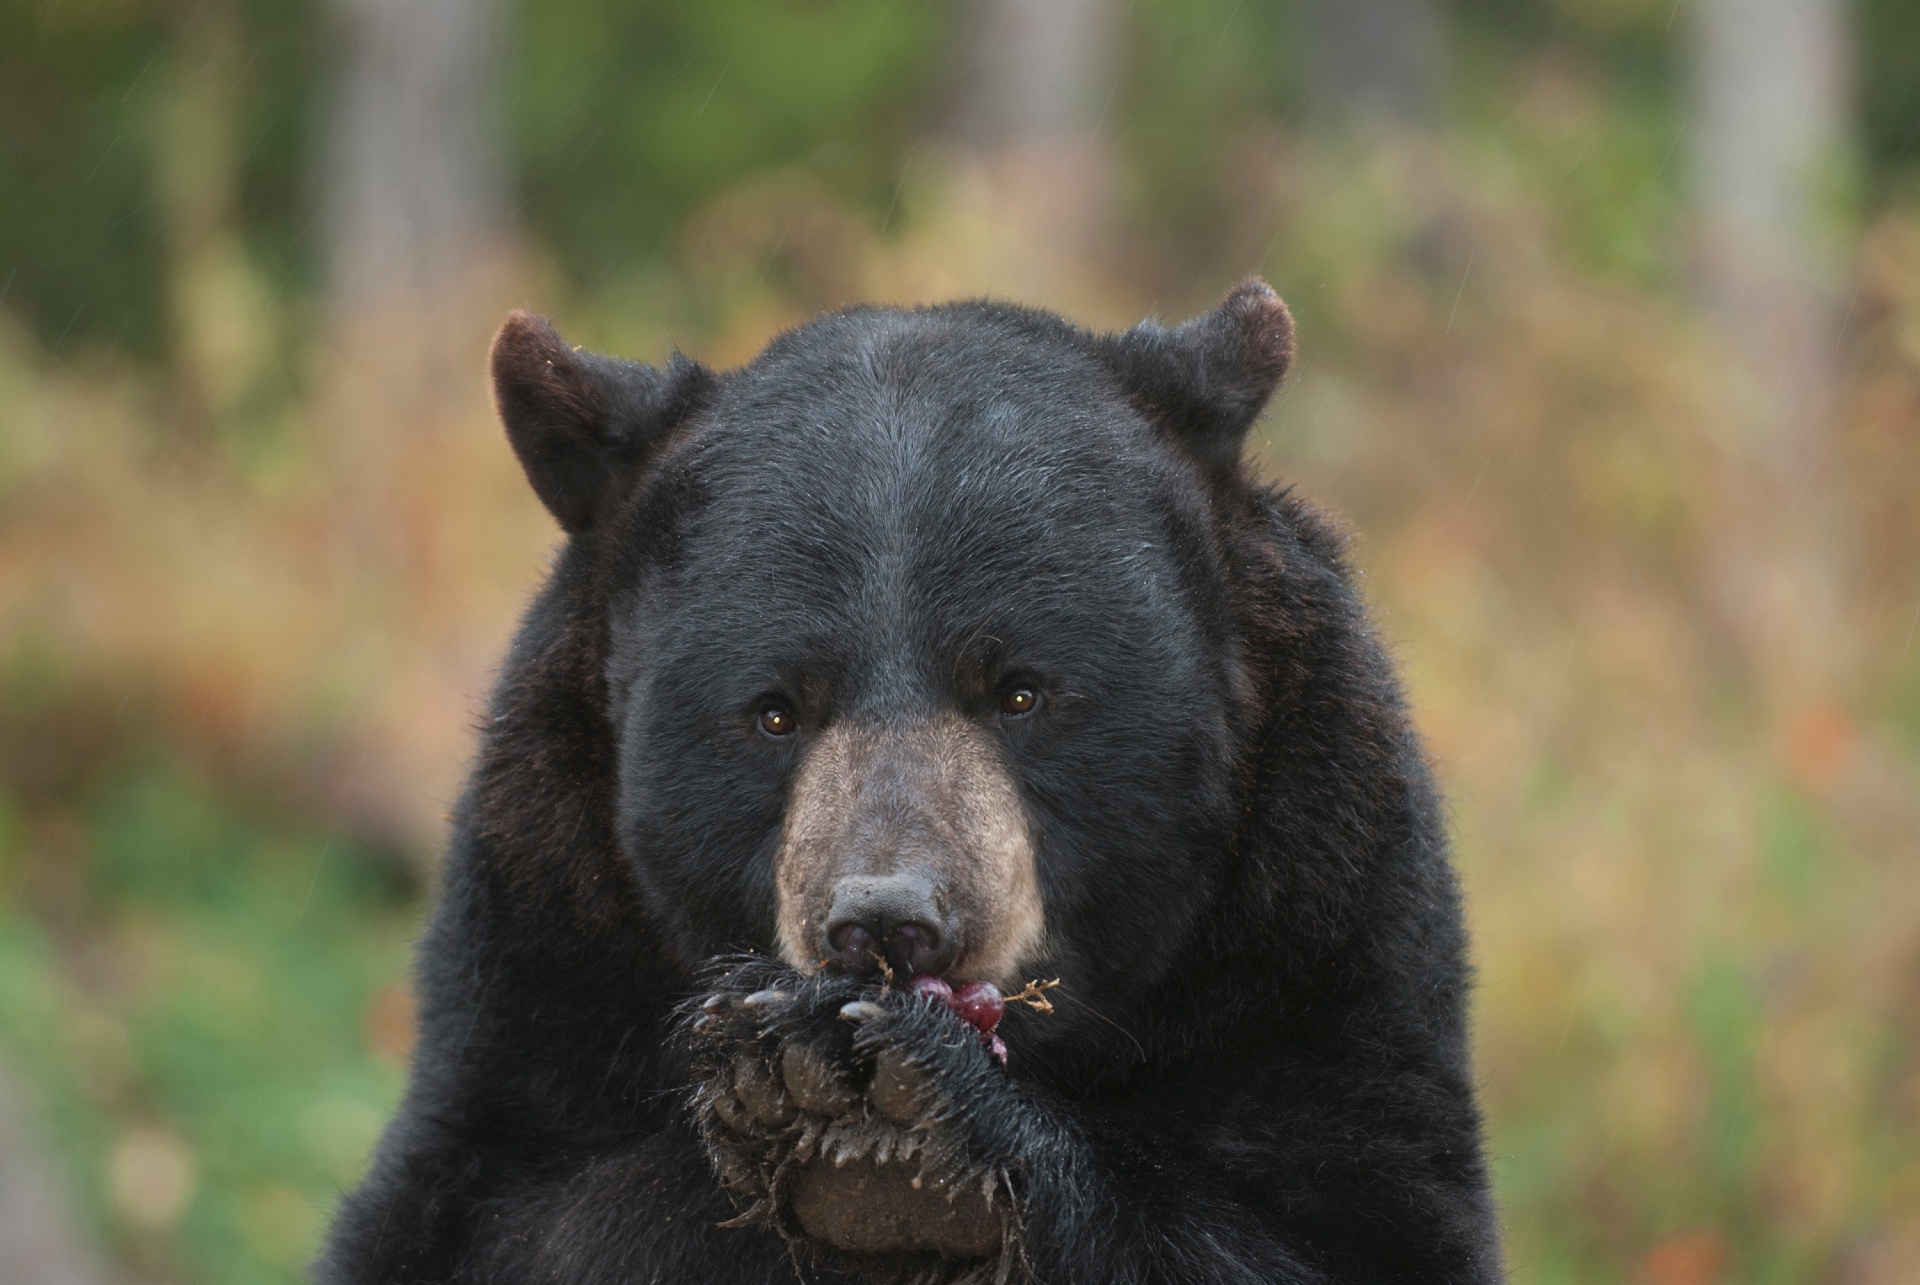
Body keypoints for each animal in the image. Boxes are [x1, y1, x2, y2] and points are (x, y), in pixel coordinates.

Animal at [316, 280, 1504, 1285]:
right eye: (776, 709)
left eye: (1020, 690)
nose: (889, 922)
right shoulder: (541, 977)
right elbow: (501, 1219)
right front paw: (806, 1090)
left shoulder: (1312, 943)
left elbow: (1334, 1227)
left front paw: (903, 1108)